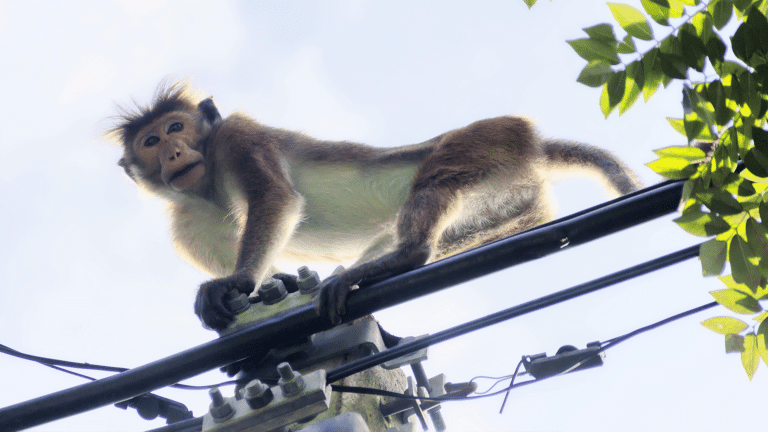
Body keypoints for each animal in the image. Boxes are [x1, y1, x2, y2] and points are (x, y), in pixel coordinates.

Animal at [111, 82, 640, 330]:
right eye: (151, 142)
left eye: (176, 128)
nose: (173, 154)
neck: (210, 187)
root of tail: (533, 144)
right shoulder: (186, 221)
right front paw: (277, 285)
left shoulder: (238, 138)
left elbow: (276, 198)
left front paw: (236, 282)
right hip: (510, 196)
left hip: (481, 141)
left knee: (433, 185)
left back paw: (400, 256)